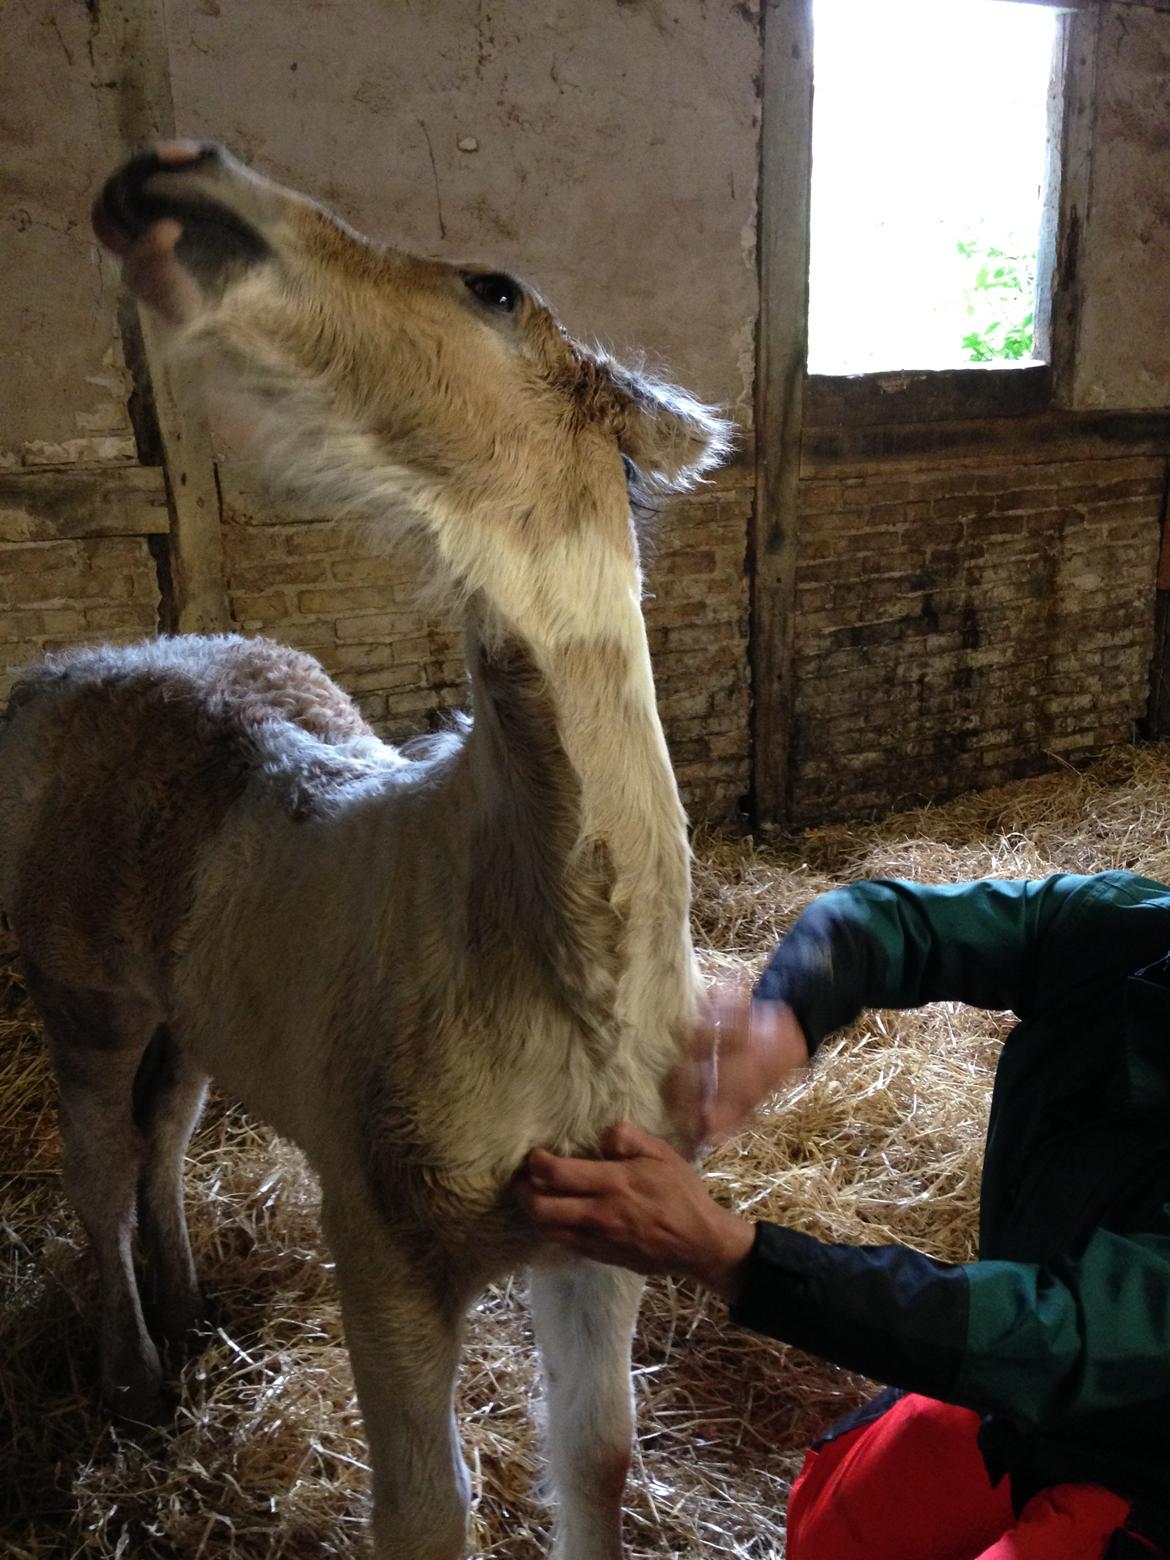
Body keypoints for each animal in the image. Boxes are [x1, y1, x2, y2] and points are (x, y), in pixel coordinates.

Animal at [0, 140, 733, 1553]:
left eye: (494, 291)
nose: (168, 178)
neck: (555, 954)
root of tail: (69, 670)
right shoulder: (389, 1257)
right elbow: (425, 1508)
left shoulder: (603, 1241)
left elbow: (597, 1464)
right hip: (85, 1004)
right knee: (99, 1167)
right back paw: (132, 1374)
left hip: (193, 1018)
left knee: (161, 1139)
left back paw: (187, 1308)